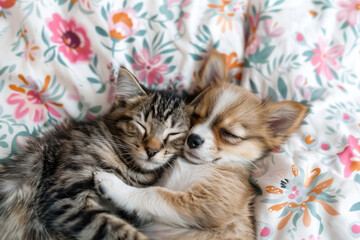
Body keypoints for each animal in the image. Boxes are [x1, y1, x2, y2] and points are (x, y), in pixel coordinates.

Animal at [0, 68, 191, 240]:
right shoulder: (64, 196)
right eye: (141, 125)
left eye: (173, 133)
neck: (129, 166)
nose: (152, 150)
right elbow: (120, 230)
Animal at [94, 51, 308, 240]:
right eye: (197, 116)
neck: (193, 166)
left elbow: (154, 194)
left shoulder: (208, 203)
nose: (193, 139)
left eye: (229, 134)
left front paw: (113, 184)